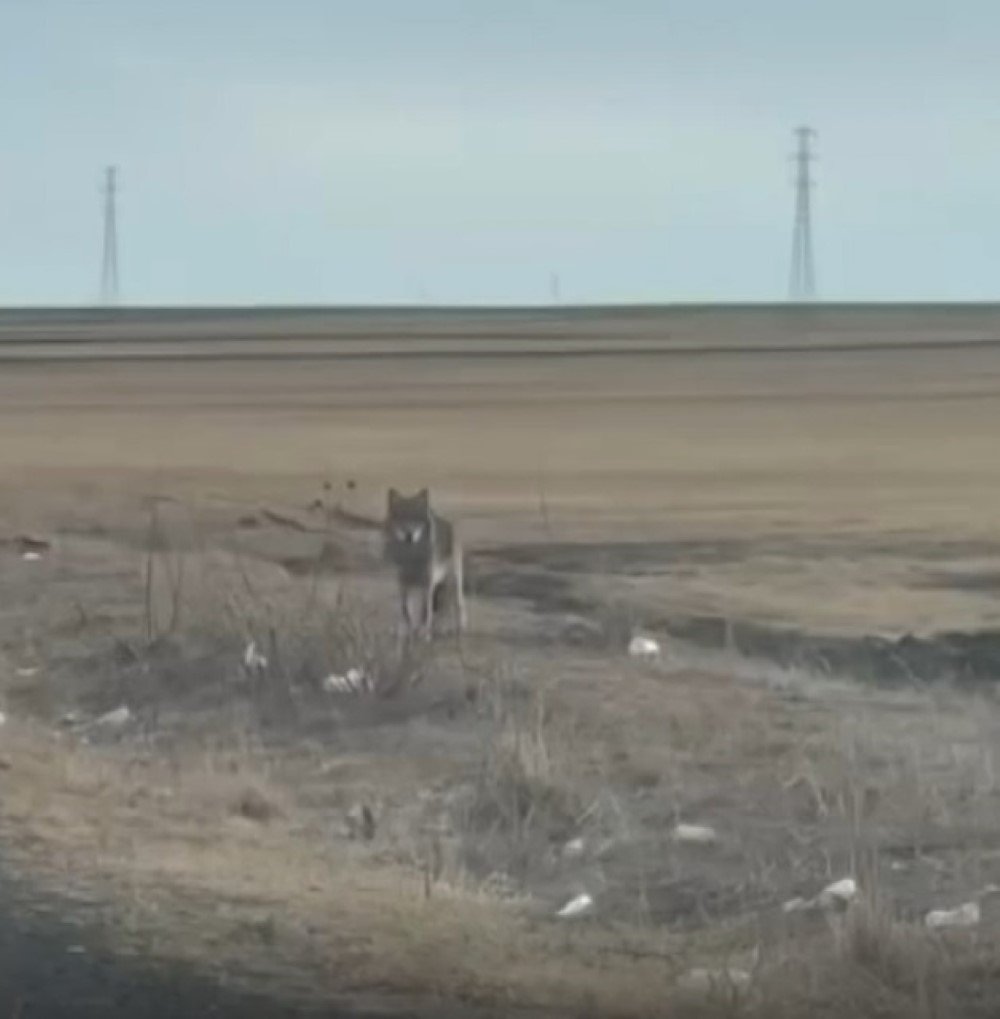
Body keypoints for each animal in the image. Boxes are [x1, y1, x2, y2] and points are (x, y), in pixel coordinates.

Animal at [383, 485, 468, 635]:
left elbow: (426, 611)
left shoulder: (427, 584)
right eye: (401, 518)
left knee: (458, 603)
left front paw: (424, 632)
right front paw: (410, 627)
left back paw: (459, 627)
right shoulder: (403, 583)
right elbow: (405, 608)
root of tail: (448, 523)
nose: (409, 535)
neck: (412, 557)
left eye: (416, 519)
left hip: (454, 580)